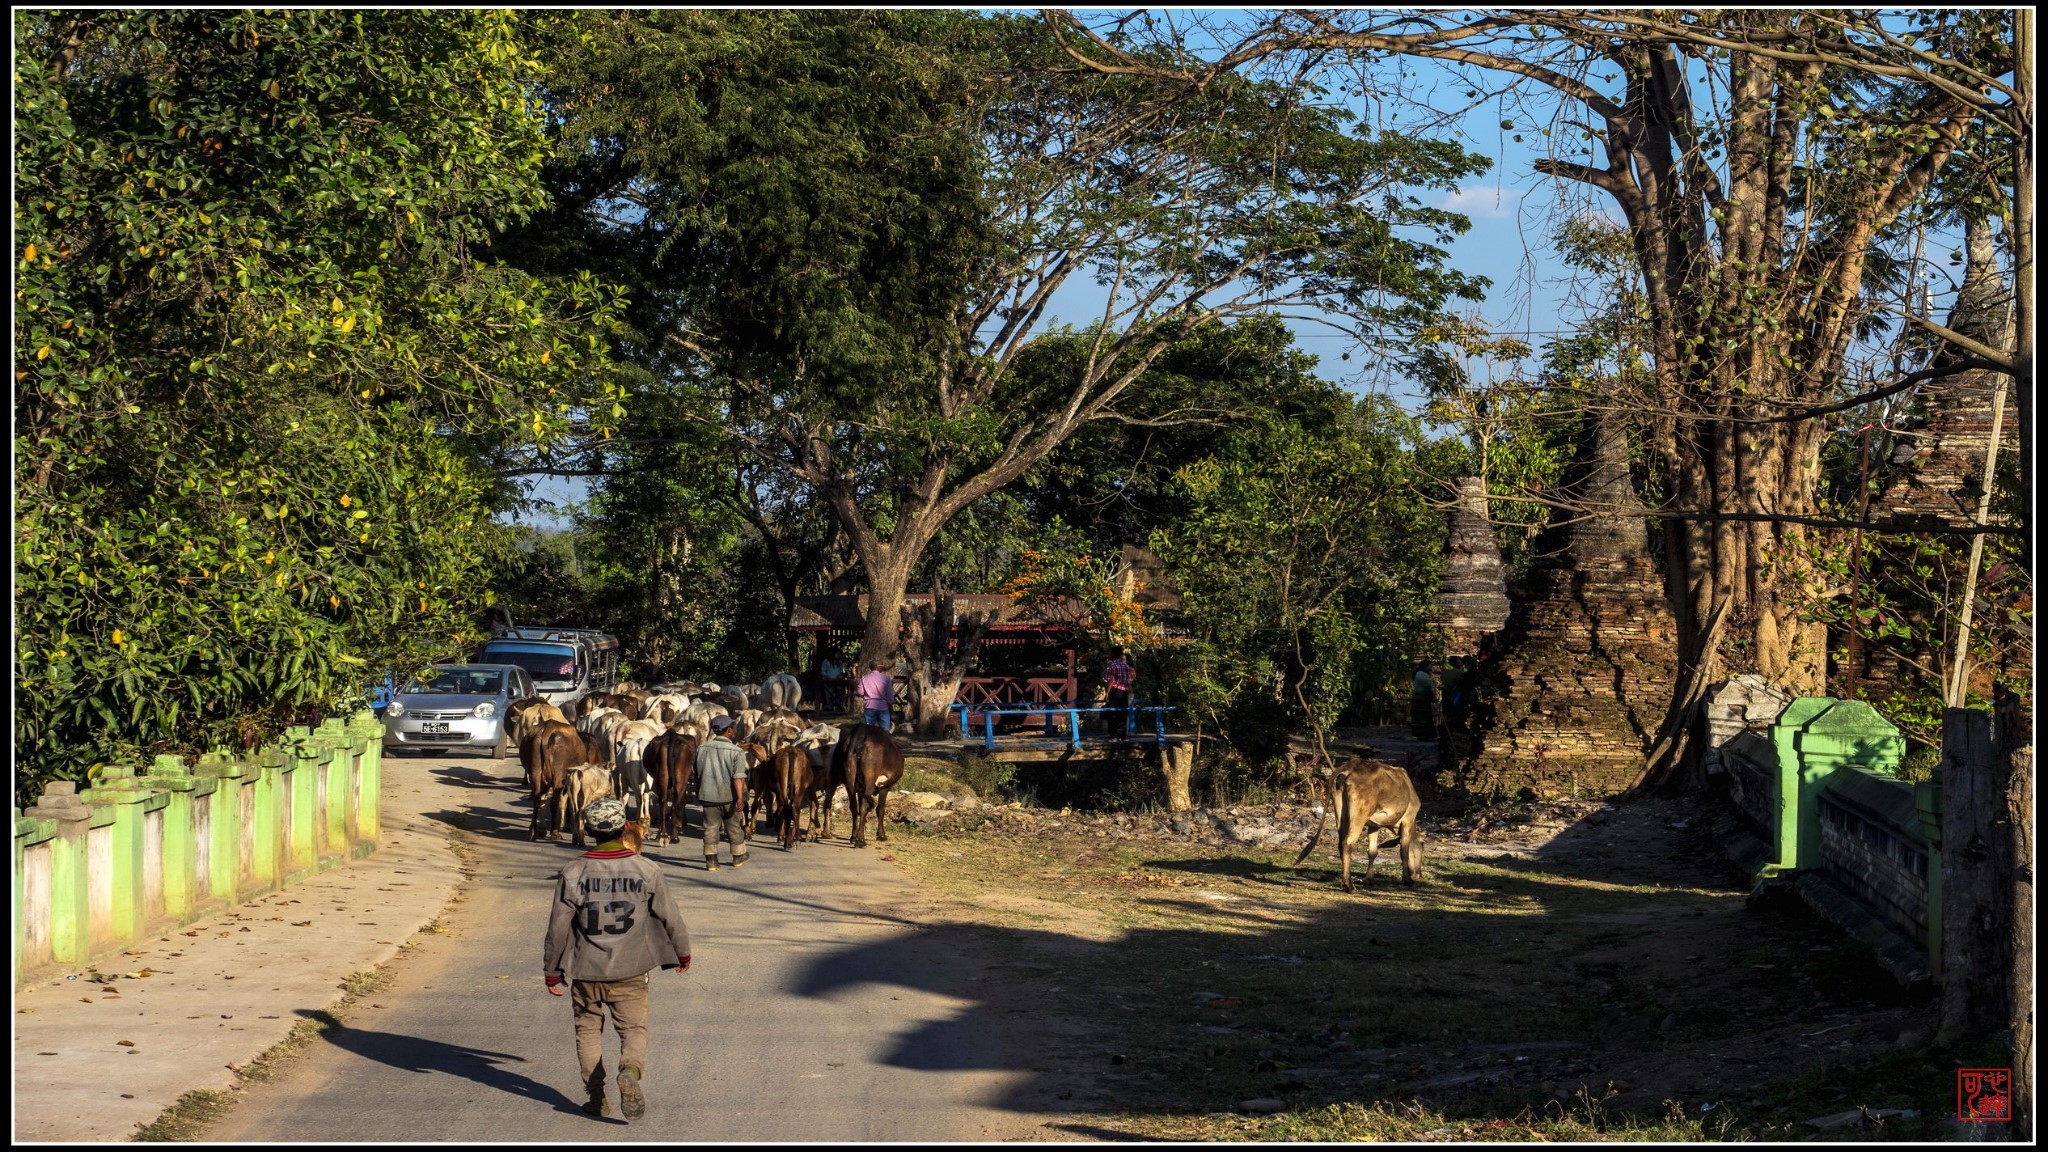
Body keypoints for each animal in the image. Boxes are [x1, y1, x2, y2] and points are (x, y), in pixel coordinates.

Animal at [1294, 754, 1425, 889]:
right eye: (1422, 844)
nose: (1418, 874)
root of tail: (1348, 767)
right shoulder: (1408, 819)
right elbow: (1404, 851)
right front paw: (1407, 880)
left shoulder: (1374, 825)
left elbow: (1372, 852)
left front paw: (1368, 879)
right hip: (1359, 815)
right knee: (1347, 843)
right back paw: (1349, 885)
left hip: (1340, 812)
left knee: (1341, 844)